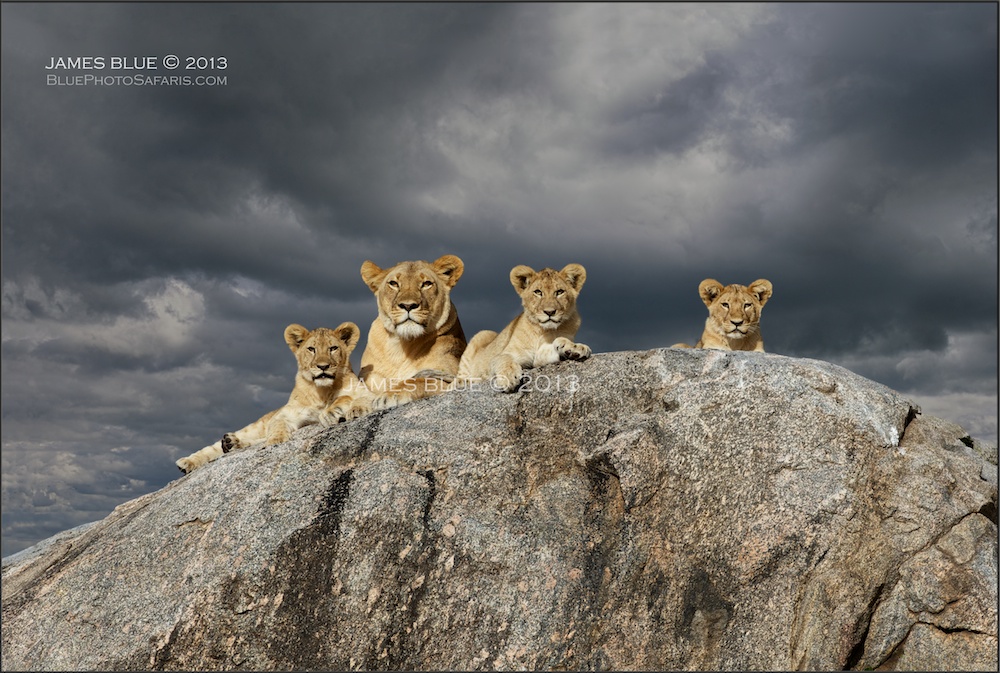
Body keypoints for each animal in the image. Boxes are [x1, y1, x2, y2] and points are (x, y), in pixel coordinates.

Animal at [176, 322, 363, 474]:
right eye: (311, 349)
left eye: (333, 348)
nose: (323, 366)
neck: (322, 391)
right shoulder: (286, 414)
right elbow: (277, 426)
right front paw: (276, 440)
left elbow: (344, 398)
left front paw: (332, 412)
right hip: (256, 425)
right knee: (218, 445)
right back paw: (189, 461)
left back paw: (232, 443)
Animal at [351, 254, 467, 413]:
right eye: (393, 283)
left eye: (426, 284)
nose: (408, 305)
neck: (400, 347)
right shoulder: (370, 377)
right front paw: (357, 406)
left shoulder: (450, 374)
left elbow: (419, 380)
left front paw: (388, 396)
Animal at [457, 264, 591, 392]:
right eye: (538, 292)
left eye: (559, 292)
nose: (549, 312)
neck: (542, 329)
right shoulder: (507, 354)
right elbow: (503, 358)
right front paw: (508, 378)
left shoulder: (537, 358)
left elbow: (556, 343)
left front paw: (573, 348)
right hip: (481, 335)